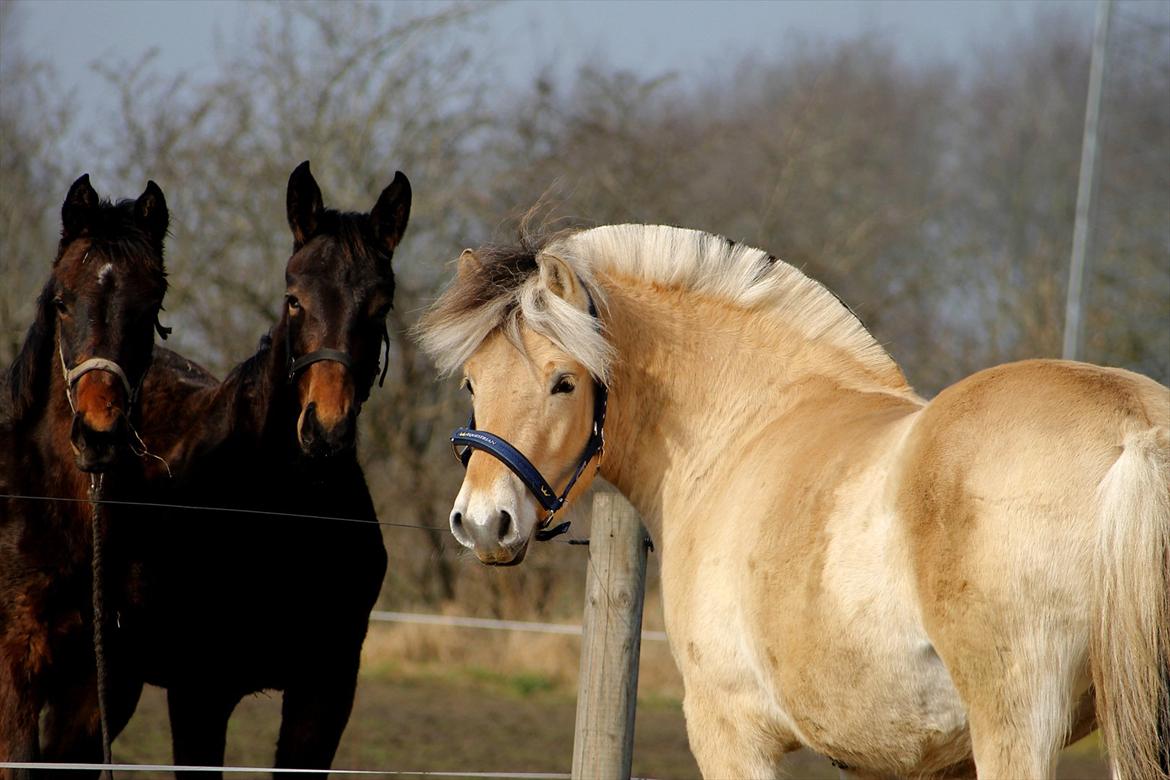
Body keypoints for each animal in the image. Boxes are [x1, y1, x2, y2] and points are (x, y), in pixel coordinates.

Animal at [416, 224, 1165, 780]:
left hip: (1016, 727)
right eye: (473, 382)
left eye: (564, 382)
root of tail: (1135, 430)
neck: (745, 426)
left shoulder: (728, 731)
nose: (483, 523)